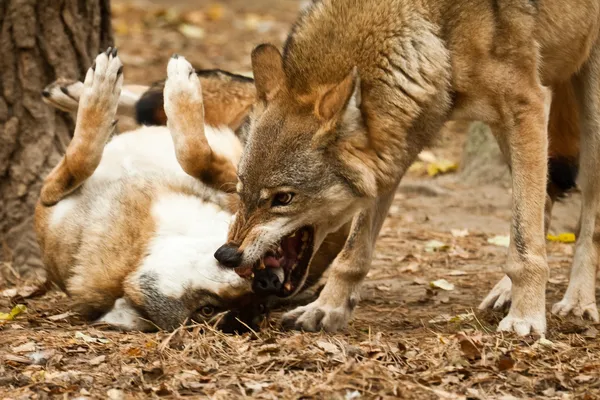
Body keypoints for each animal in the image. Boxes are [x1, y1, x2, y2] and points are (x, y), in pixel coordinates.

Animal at [214, 0, 600, 338]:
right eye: (240, 191)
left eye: (283, 198)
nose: (227, 255)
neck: (435, 30)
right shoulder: (398, 143)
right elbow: (354, 252)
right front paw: (326, 309)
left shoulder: (527, 105)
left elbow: (523, 241)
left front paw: (526, 318)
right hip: (505, 133)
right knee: (543, 200)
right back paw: (506, 292)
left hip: (585, 122)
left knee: (584, 218)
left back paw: (578, 301)